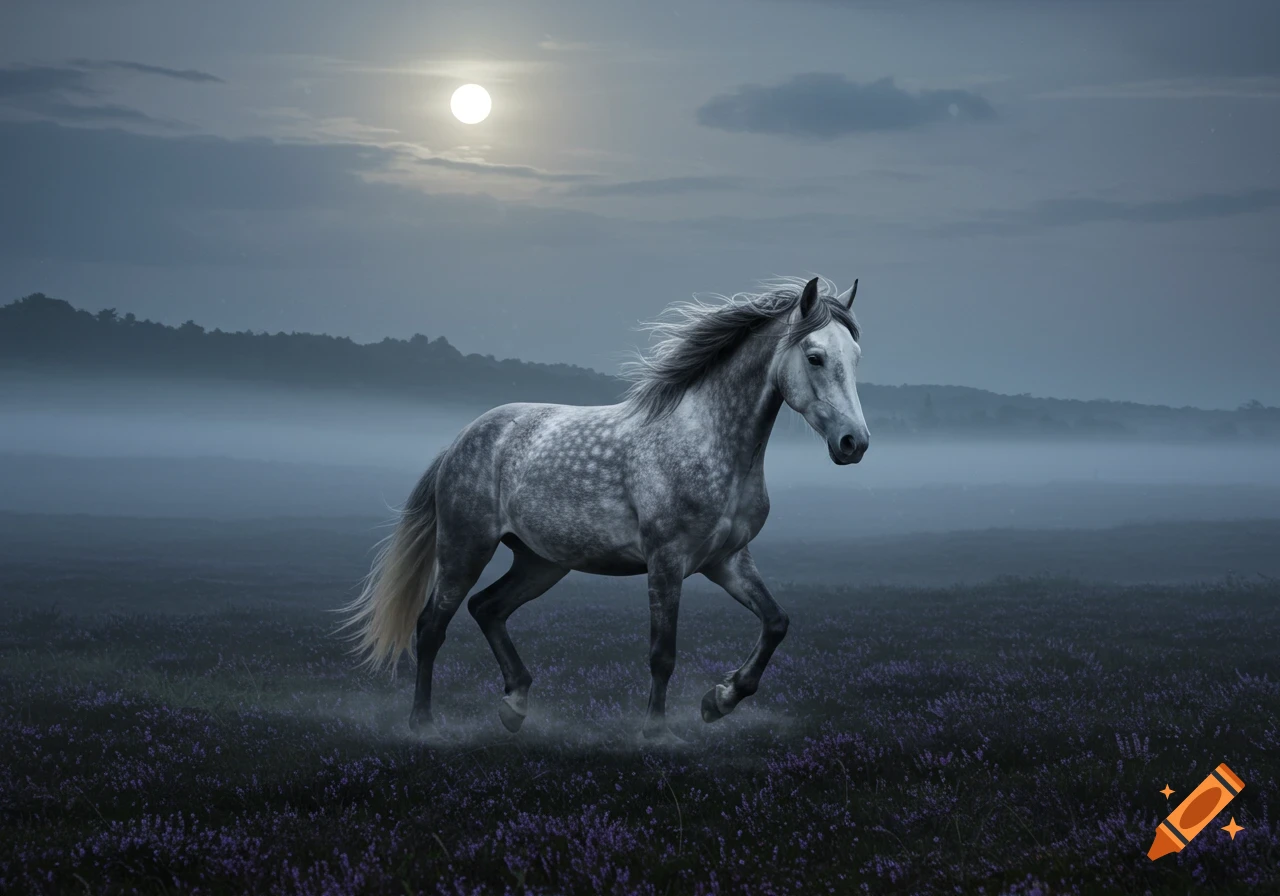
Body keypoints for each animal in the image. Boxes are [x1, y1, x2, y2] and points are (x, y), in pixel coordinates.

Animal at [339, 275, 869, 742]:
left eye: (856, 356)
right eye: (815, 356)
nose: (854, 443)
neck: (708, 441)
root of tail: (461, 440)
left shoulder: (726, 560)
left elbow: (776, 622)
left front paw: (718, 700)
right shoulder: (666, 562)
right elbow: (662, 652)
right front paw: (658, 733)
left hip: (541, 562)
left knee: (487, 608)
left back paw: (515, 705)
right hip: (465, 549)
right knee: (432, 625)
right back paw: (425, 725)